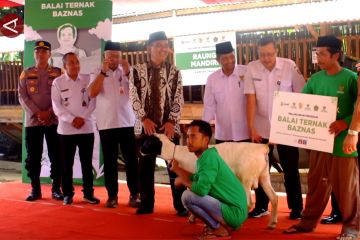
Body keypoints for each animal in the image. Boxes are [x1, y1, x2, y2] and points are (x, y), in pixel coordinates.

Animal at [141, 134, 278, 230]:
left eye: (149, 141)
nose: (140, 150)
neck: (176, 152)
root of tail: (262, 147)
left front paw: (194, 218)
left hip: (246, 179)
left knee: (249, 203)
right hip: (264, 176)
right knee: (274, 197)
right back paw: (272, 224)